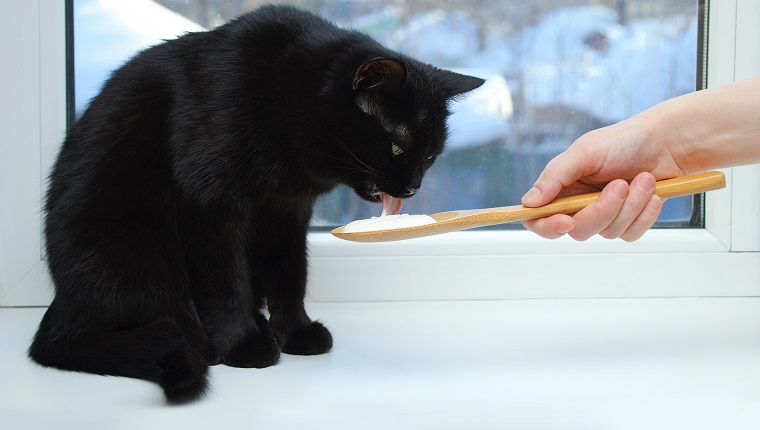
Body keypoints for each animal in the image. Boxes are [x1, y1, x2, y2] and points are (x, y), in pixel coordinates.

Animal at [29, 4, 484, 404]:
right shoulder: (211, 205)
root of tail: (59, 311)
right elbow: (224, 281)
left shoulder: (286, 213)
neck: (288, 104)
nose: (412, 187)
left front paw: (296, 332)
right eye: (397, 146)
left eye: (430, 155)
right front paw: (242, 343)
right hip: (140, 251)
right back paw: (206, 345)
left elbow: (290, 274)